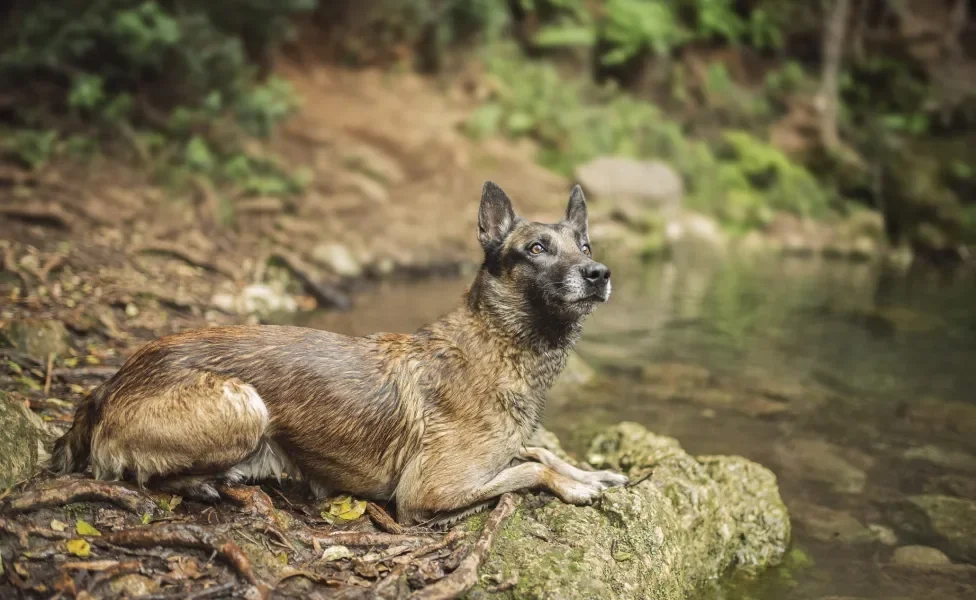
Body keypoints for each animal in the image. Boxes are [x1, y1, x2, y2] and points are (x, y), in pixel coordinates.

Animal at [49, 180, 624, 524]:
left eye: (585, 247)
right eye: (536, 249)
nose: (599, 274)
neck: (497, 344)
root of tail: (108, 385)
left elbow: (537, 452)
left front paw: (589, 473)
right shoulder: (427, 493)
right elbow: (527, 471)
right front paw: (575, 487)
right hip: (244, 404)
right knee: (146, 474)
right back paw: (210, 482)